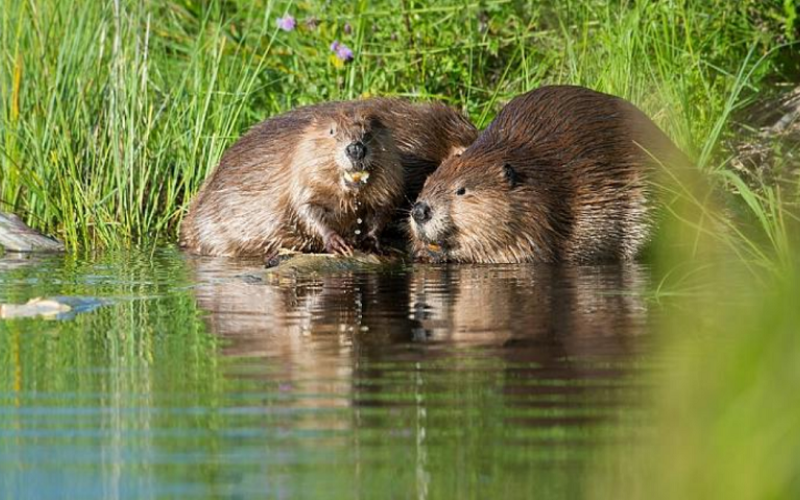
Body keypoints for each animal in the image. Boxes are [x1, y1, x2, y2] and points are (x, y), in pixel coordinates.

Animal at [410, 85, 692, 266]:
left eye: (461, 190)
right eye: (426, 182)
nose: (420, 211)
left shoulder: (539, 216)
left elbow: (520, 251)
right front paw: (424, 250)